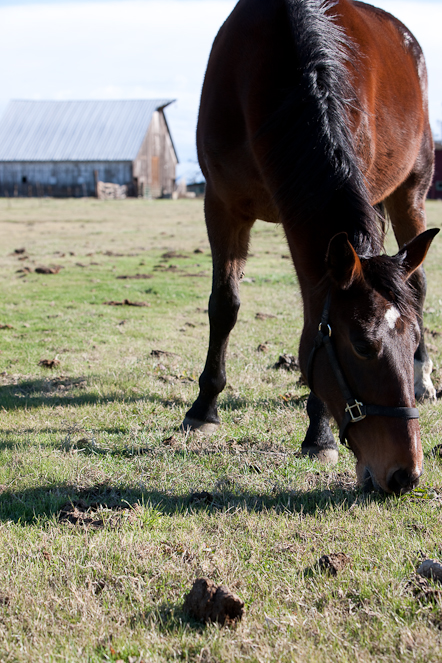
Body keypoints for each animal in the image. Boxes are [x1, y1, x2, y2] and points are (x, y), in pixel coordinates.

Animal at [182, 0, 439, 494]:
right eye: (361, 345)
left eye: (413, 337)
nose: (406, 474)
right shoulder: (221, 205)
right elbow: (224, 305)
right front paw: (203, 408)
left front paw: (319, 435)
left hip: (409, 193)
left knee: (416, 285)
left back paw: (424, 378)